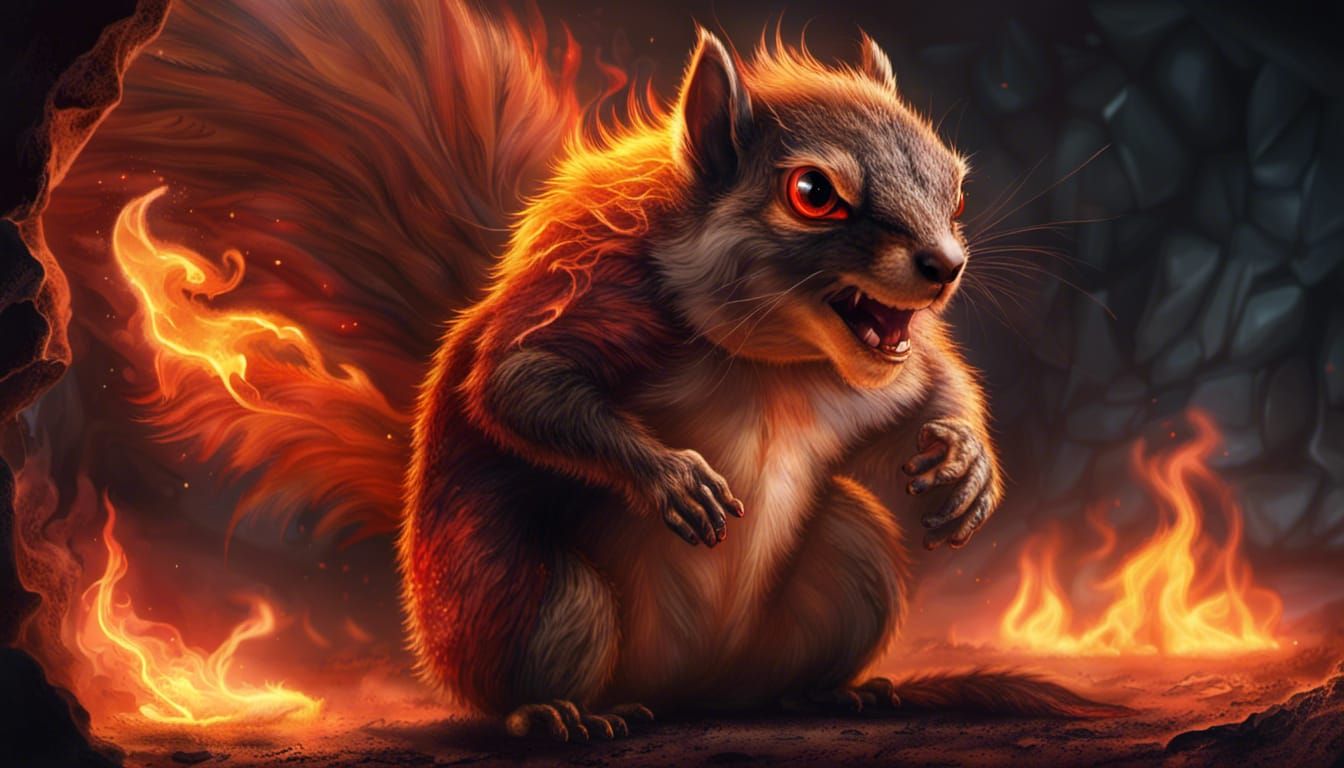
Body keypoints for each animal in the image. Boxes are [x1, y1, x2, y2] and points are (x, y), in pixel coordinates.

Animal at [61, 0, 1120, 742]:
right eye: (813, 193)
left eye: (956, 184)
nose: (945, 265)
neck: (775, 361)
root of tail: (690, 693)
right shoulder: (599, 302)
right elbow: (518, 385)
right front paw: (671, 477)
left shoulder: (878, 371)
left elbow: (935, 383)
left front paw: (967, 470)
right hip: (534, 597)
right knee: (526, 667)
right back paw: (555, 716)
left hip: (852, 563)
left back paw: (828, 694)